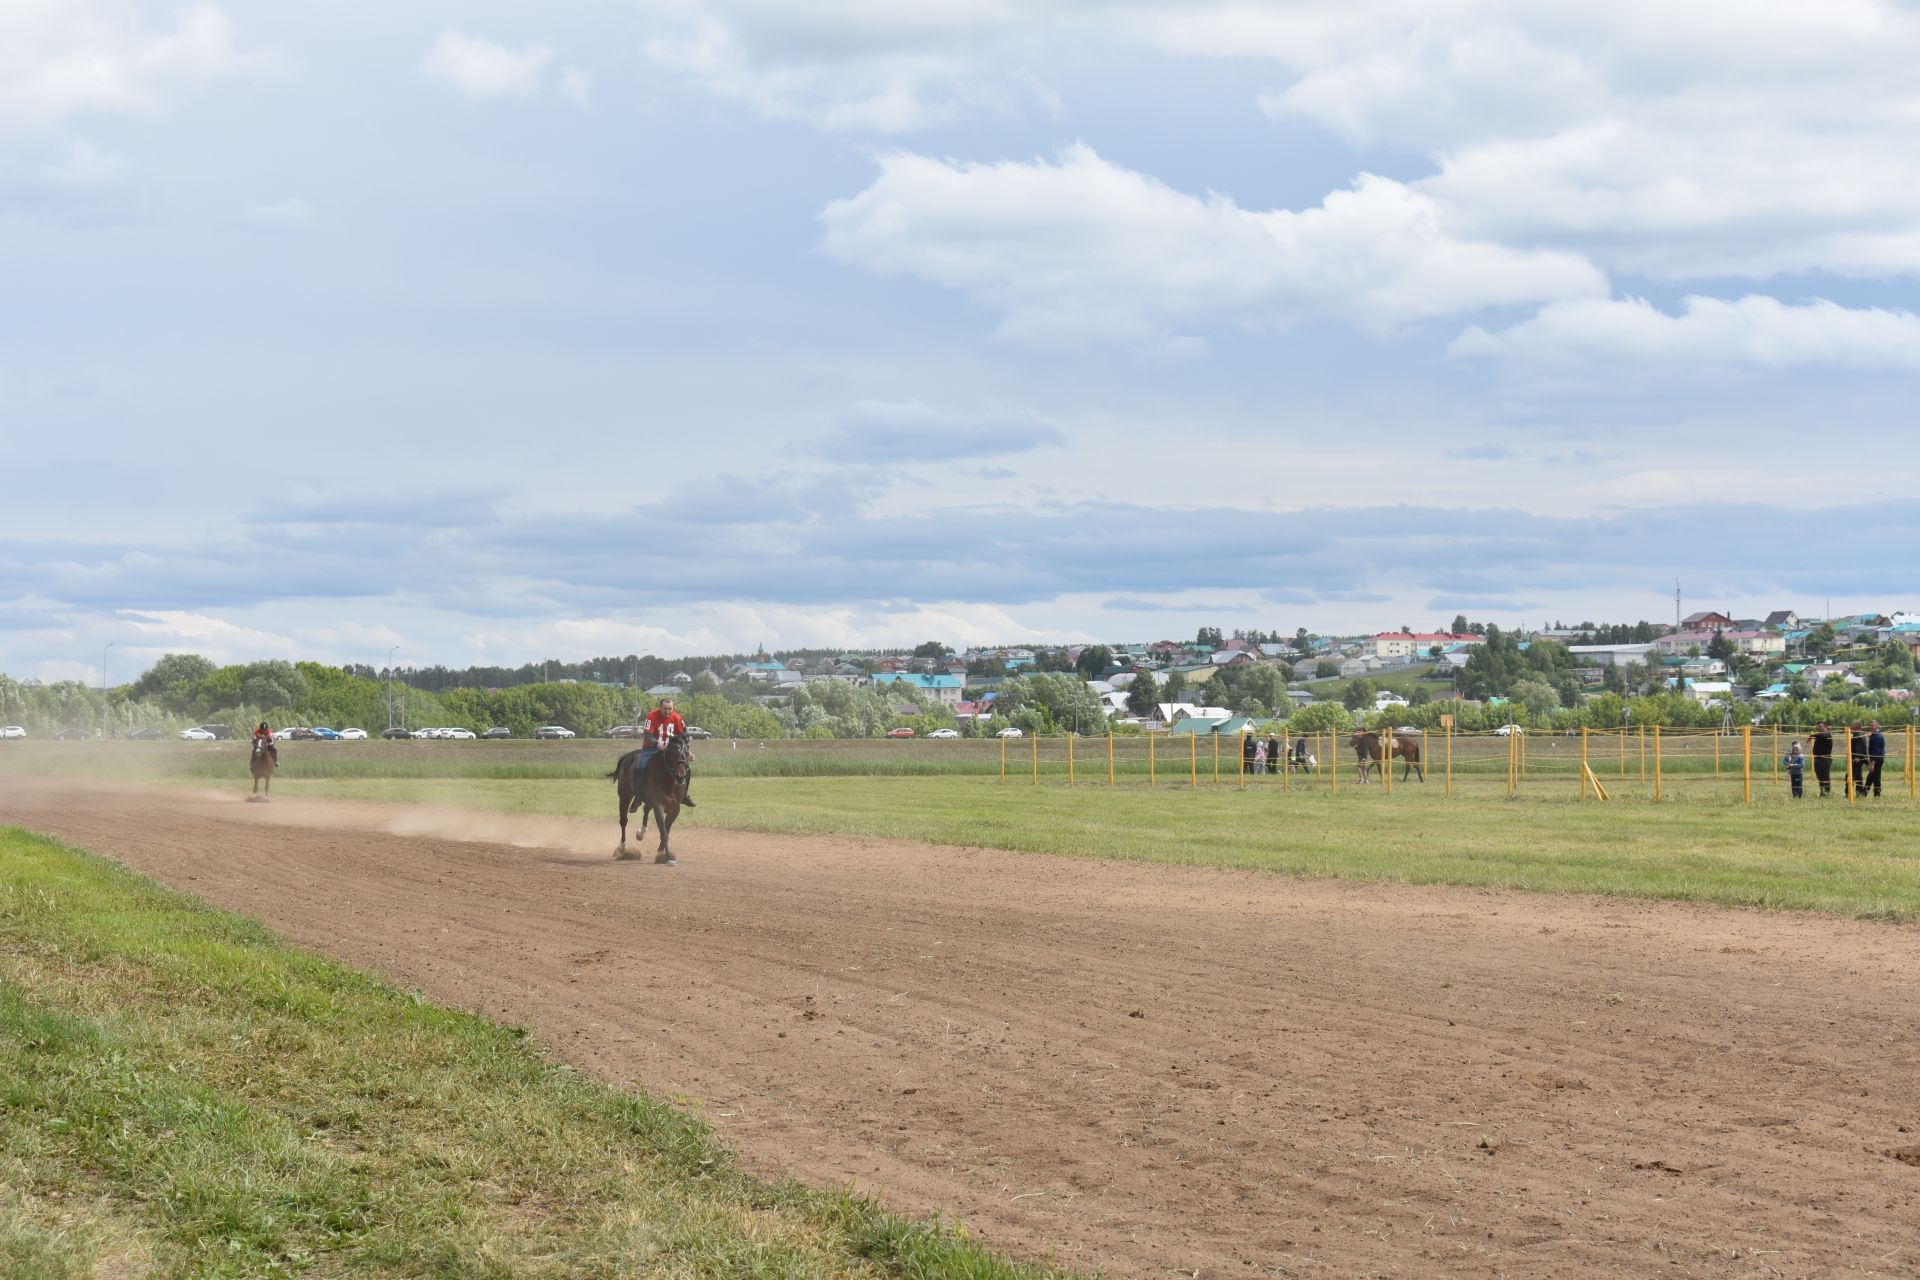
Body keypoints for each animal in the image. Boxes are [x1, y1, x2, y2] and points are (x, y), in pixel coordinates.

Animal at [610, 736, 695, 867]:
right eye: (672, 753)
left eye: (686, 753)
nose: (681, 777)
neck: (669, 782)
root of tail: (628, 756)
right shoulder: (658, 806)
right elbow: (664, 832)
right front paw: (668, 857)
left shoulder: (675, 809)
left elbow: (666, 830)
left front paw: (661, 852)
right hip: (624, 796)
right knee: (623, 821)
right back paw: (623, 848)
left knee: (646, 809)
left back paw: (641, 832)